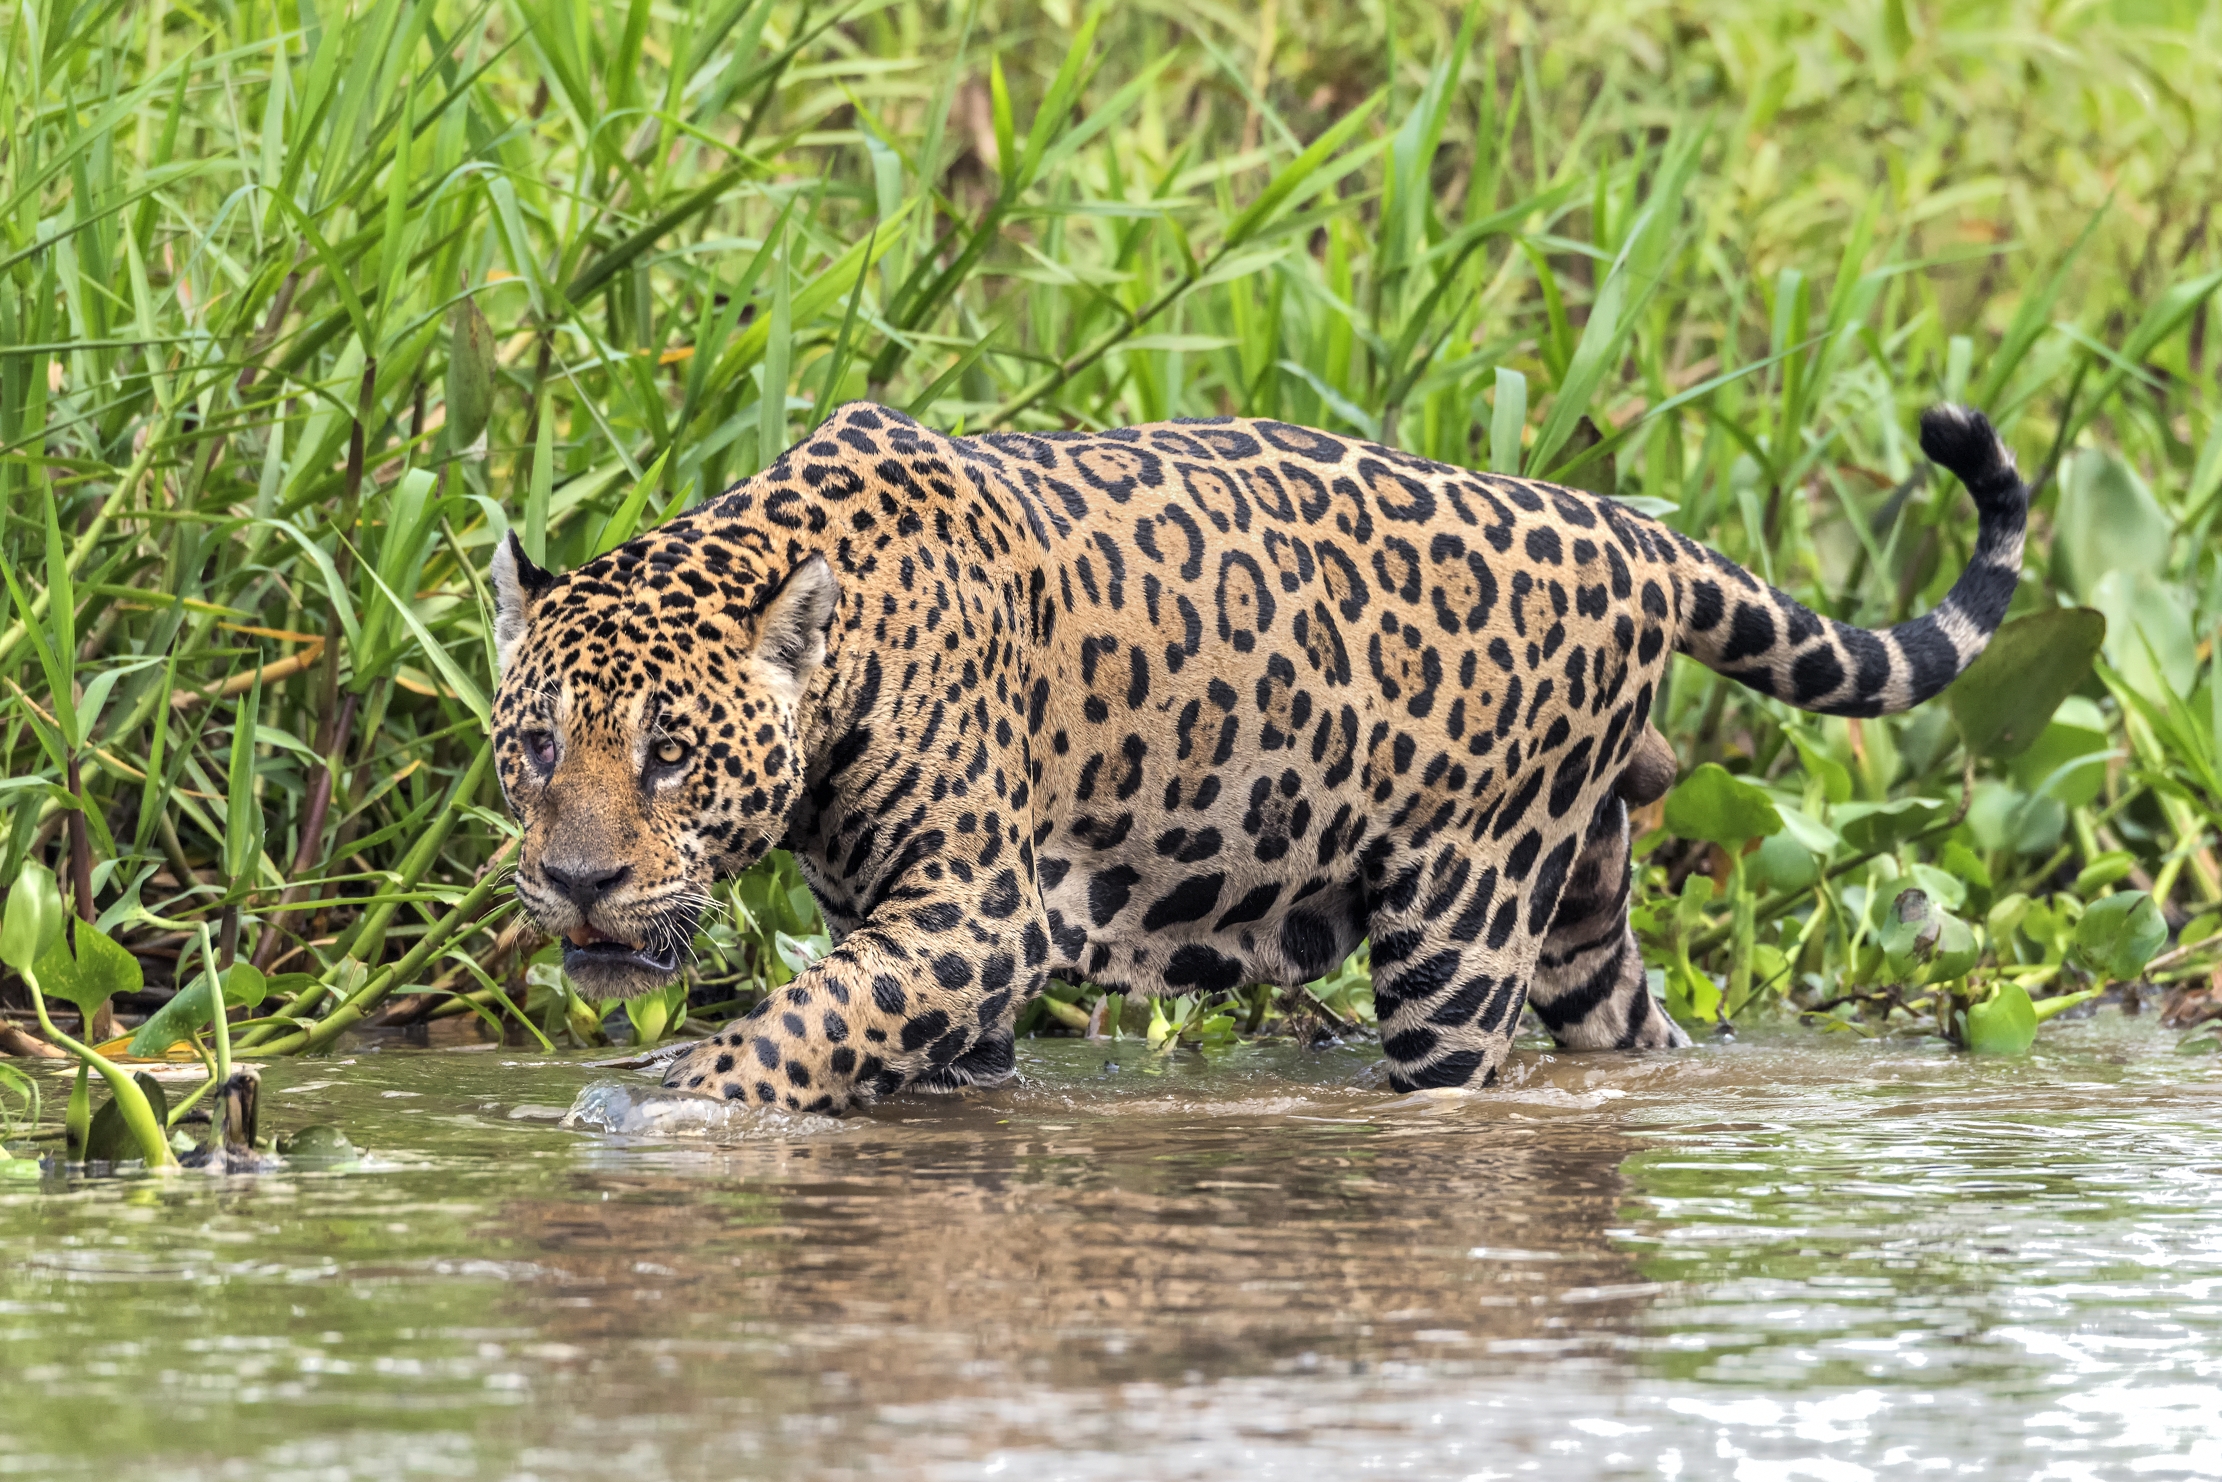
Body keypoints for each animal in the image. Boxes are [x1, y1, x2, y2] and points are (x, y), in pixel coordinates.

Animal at [487, 400, 2026, 1113]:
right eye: (535, 747)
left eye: (672, 758)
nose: (576, 883)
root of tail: (1623, 527)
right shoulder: (929, 954)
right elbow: (883, 1034)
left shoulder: (974, 917)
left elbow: (808, 1014)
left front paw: (674, 1101)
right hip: (1581, 882)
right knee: (1623, 1022)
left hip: (1458, 923)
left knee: (1458, 1065)